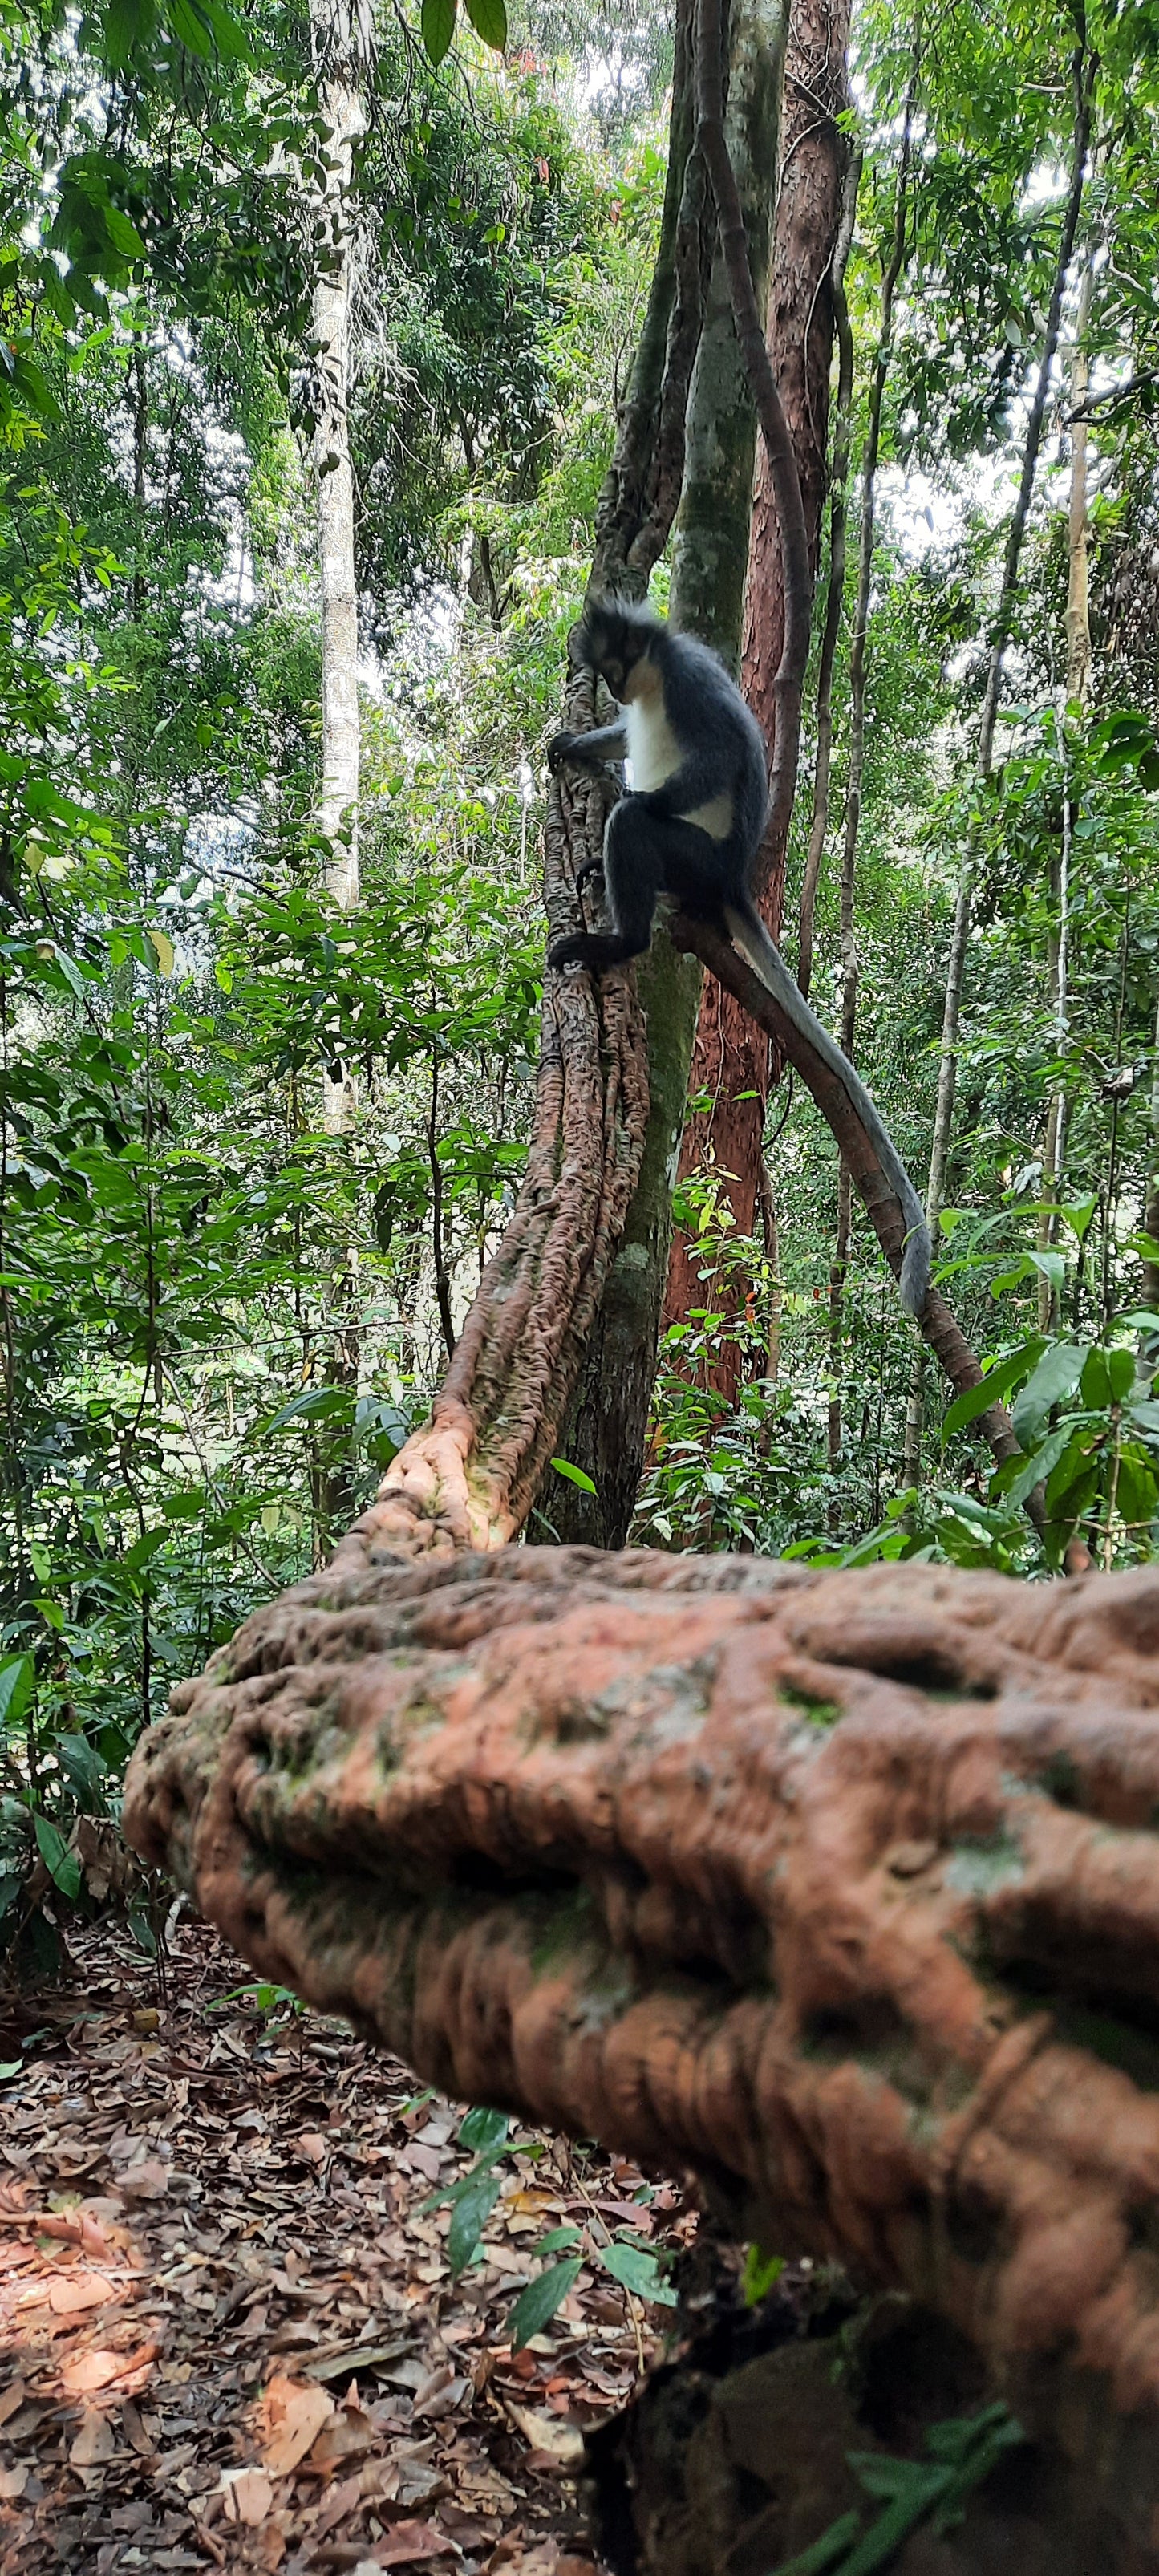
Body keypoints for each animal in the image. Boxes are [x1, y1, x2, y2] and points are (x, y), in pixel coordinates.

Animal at [545, 600, 932, 1319]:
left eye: (613, 666)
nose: (611, 688)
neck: (652, 678)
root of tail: (729, 881)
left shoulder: (691, 682)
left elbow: (718, 755)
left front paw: (636, 797)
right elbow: (621, 742)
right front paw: (573, 744)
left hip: (694, 859)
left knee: (634, 830)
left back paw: (619, 936)